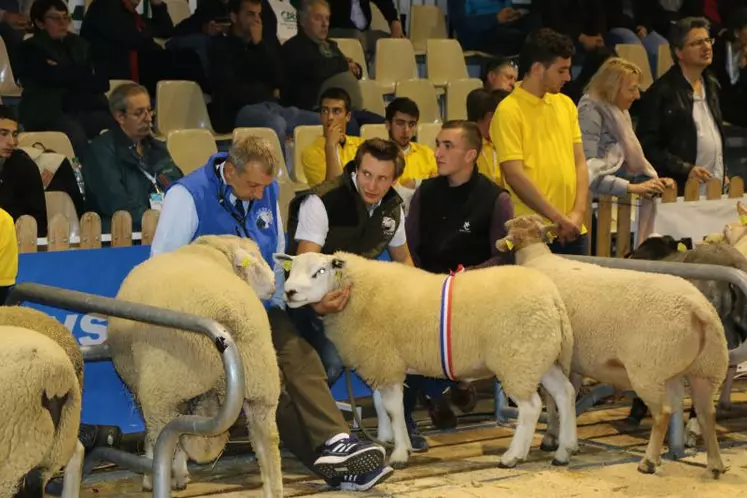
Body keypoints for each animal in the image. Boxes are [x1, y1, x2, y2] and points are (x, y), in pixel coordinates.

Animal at [109, 235, 284, 496]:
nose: (274, 283)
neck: (212, 251)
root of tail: (227, 312)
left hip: (163, 390)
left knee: (162, 440)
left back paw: (157, 478)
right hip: (261, 385)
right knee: (267, 444)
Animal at [274, 251, 580, 468]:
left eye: (319, 271)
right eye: (291, 270)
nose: (289, 292)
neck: (357, 292)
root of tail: (552, 297)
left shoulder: (385, 361)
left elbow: (393, 408)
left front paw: (399, 452)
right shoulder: (382, 361)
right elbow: (379, 403)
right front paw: (385, 438)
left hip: (517, 358)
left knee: (531, 407)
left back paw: (513, 456)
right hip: (540, 357)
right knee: (565, 393)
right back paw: (565, 450)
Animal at [496, 215, 732, 478]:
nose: (505, 223)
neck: (535, 256)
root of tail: (699, 309)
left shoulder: (553, 356)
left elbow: (551, 400)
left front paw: (549, 438)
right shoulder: (574, 361)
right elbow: (568, 395)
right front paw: (566, 440)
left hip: (649, 370)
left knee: (663, 412)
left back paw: (649, 462)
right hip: (706, 368)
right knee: (706, 413)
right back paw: (715, 464)